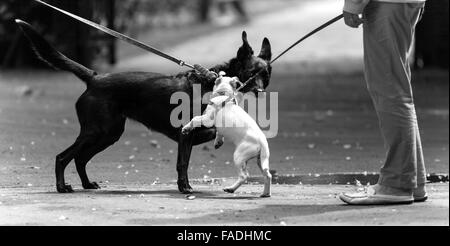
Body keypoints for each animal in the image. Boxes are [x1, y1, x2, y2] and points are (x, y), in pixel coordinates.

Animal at [15, 19, 272, 194]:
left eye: (267, 73)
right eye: (252, 73)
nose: (261, 91)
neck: (211, 82)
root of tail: (94, 77)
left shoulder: (188, 137)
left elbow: (190, 154)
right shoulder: (184, 135)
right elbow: (183, 162)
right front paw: (185, 189)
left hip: (109, 134)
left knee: (80, 158)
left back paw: (87, 184)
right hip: (97, 131)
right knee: (63, 157)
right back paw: (62, 187)